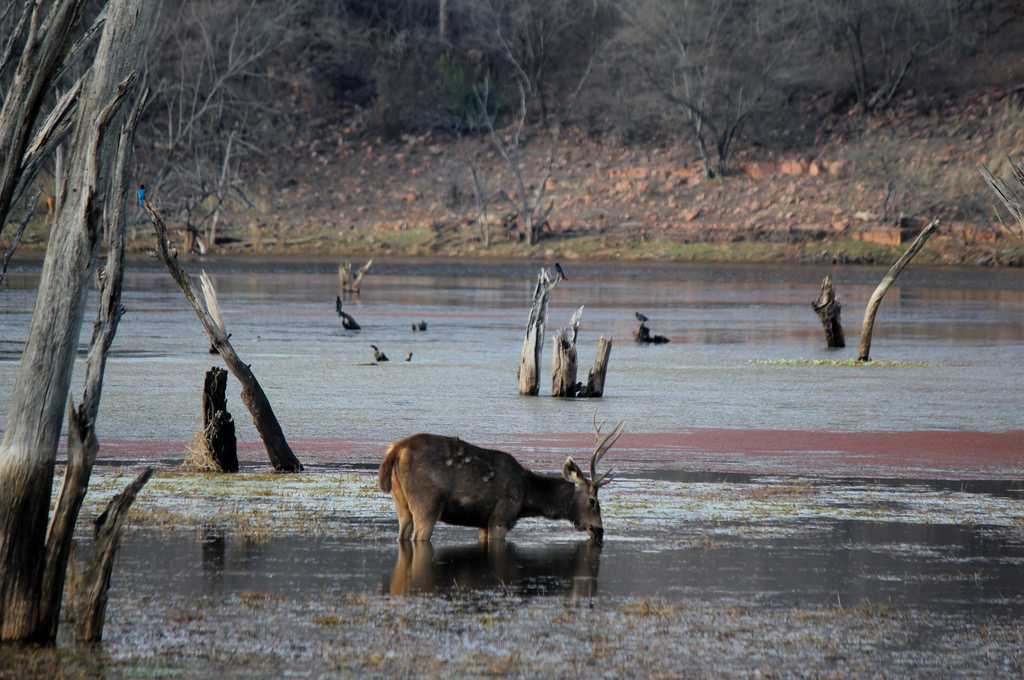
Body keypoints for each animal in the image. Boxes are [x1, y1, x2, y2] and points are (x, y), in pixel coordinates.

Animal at [378, 417, 622, 544]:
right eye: (593, 501)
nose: (599, 530)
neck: (526, 498)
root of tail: (396, 450)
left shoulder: (483, 522)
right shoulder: (501, 517)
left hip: (401, 503)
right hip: (427, 503)